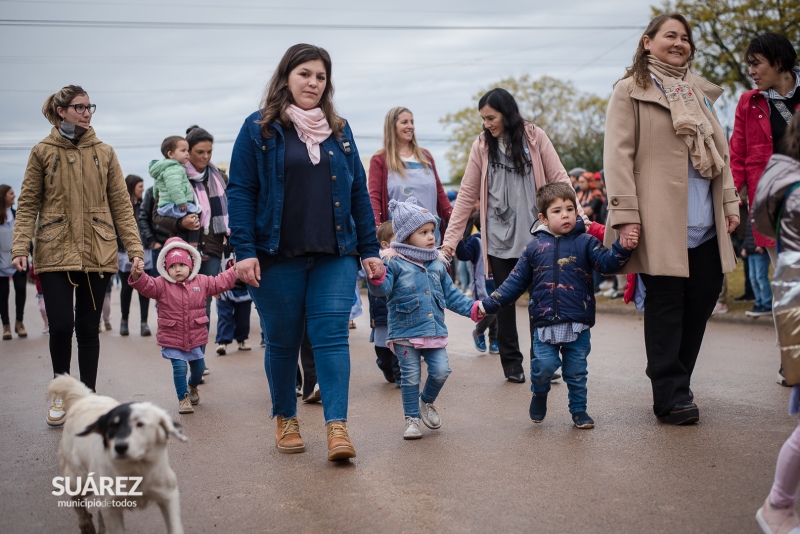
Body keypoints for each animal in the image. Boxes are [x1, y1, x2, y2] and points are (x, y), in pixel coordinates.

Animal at [48, 376, 188, 534]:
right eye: (111, 427)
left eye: (140, 424)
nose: (120, 447)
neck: (135, 469)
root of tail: (85, 398)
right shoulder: (111, 506)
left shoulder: (168, 496)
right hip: (79, 480)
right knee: (77, 500)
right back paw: (86, 525)